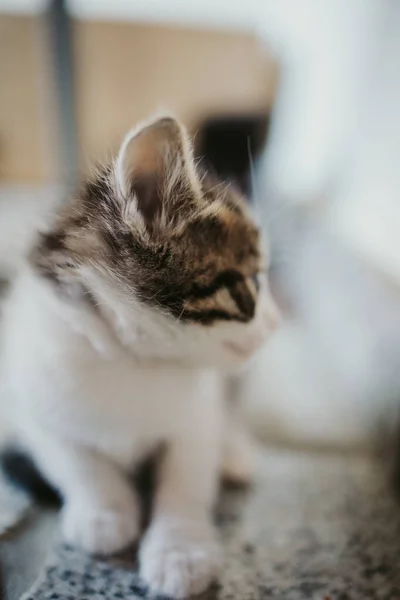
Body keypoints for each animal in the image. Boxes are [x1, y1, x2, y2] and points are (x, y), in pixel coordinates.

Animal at [0, 115, 278, 596]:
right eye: (252, 282)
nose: (277, 322)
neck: (131, 360)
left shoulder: (198, 416)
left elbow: (186, 479)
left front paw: (181, 552)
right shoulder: (29, 395)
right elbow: (73, 459)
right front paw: (103, 514)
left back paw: (235, 453)